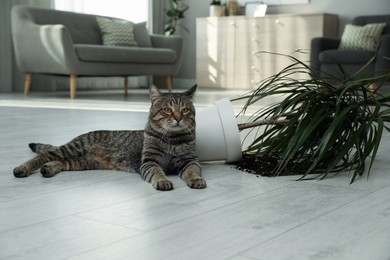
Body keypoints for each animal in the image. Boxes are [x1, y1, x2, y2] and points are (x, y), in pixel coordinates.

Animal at [13, 85, 206, 191]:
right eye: (167, 110)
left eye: (185, 110)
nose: (178, 118)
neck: (172, 140)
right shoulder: (149, 162)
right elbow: (157, 172)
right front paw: (163, 181)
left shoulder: (190, 160)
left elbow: (192, 171)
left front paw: (196, 179)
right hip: (73, 148)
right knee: (45, 155)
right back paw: (22, 168)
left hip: (83, 162)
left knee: (60, 162)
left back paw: (48, 169)